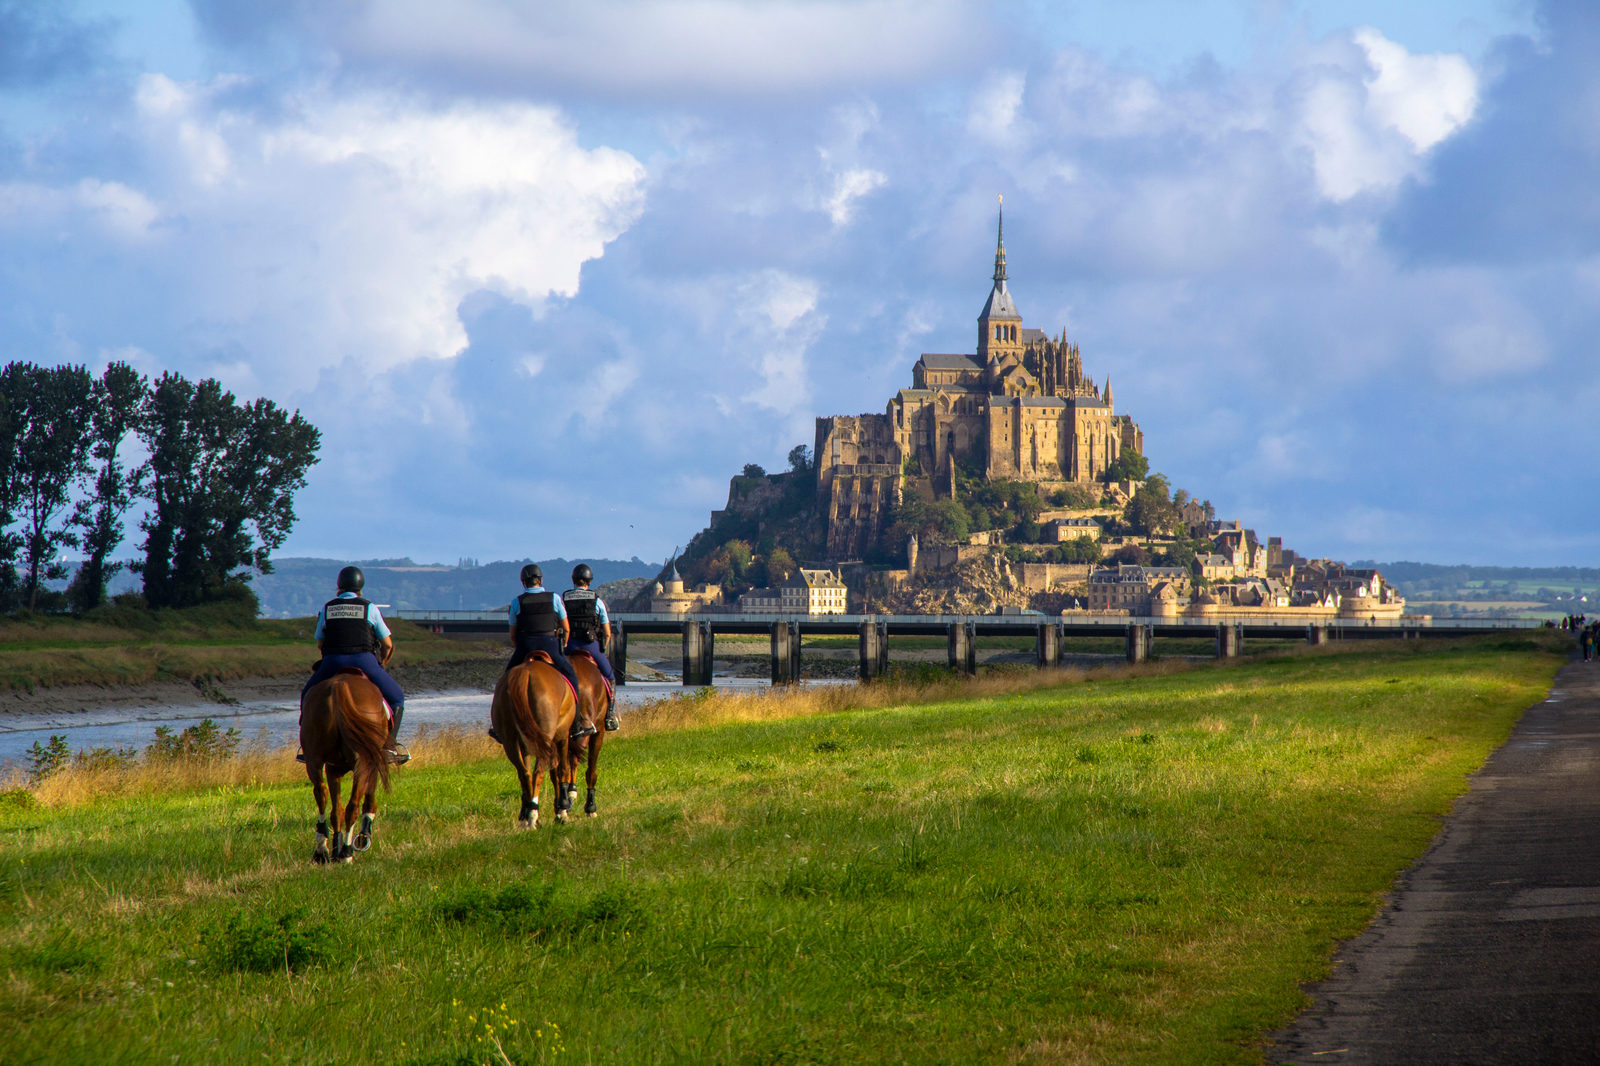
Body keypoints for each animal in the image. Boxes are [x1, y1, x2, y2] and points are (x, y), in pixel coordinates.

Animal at [300, 671, 392, 864]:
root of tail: (339, 687)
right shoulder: (372, 765)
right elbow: (368, 800)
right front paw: (363, 837)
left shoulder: (332, 769)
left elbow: (336, 812)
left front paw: (335, 847)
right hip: (363, 764)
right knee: (352, 807)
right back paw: (347, 853)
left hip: (314, 761)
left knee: (321, 795)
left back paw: (322, 850)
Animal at [490, 654, 578, 828]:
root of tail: (524, 674)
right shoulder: (562, 736)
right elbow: (562, 770)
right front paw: (562, 811)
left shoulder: (526, 746)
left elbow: (552, 772)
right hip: (546, 737)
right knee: (539, 772)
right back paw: (533, 816)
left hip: (510, 741)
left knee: (525, 774)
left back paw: (529, 815)